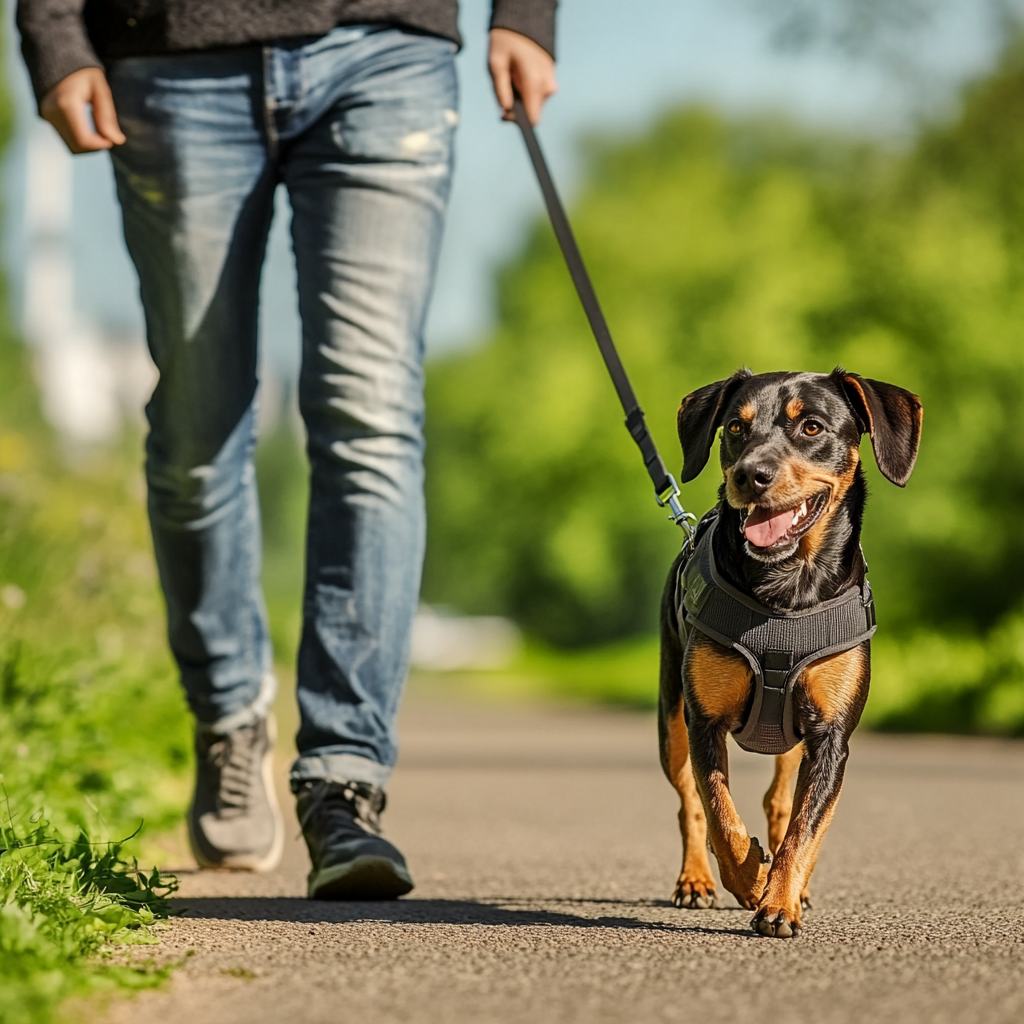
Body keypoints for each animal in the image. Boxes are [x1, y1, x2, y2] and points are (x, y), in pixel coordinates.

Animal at [659, 366, 925, 937]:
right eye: (735, 427)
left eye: (812, 427)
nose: (750, 475)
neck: (785, 588)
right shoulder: (703, 720)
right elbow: (718, 812)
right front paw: (749, 879)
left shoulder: (831, 735)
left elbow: (808, 823)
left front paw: (780, 901)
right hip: (671, 718)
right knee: (689, 801)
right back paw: (696, 881)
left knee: (781, 801)